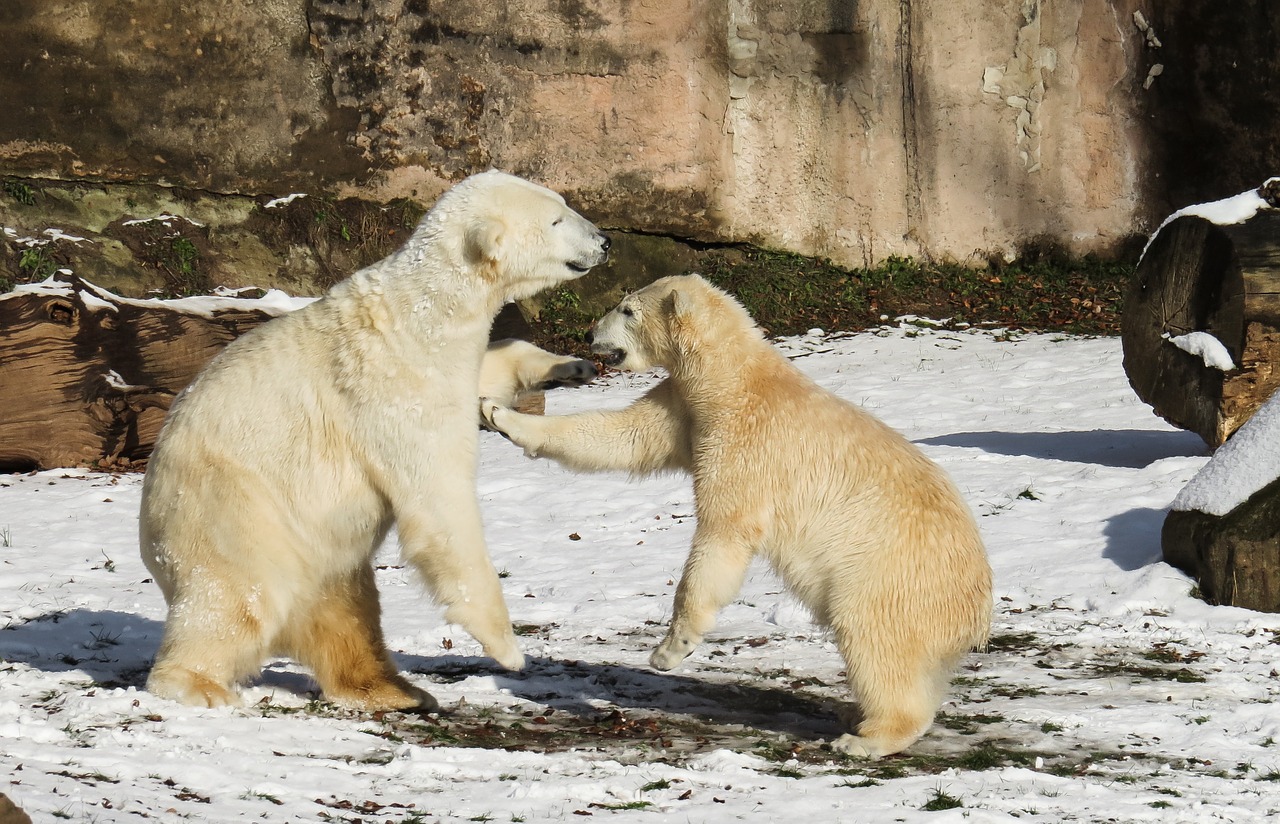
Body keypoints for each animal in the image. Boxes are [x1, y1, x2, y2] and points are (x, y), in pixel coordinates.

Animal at [142, 170, 611, 711]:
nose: (604, 240)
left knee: (344, 604)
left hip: (315, 548)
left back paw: (395, 689)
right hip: (233, 510)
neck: (424, 312)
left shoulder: (449, 362)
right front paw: (508, 649)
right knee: (237, 597)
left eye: (564, 203)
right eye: (556, 219)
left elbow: (491, 368)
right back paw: (200, 686)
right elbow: (439, 501)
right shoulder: (395, 388)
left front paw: (572, 365)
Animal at [481, 273, 988, 757]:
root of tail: (976, 611)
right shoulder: (686, 408)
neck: (730, 379)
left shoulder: (746, 444)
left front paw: (670, 651)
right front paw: (498, 413)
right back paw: (856, 716)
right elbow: (623, 437)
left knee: (873, 640)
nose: (589, 334)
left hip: (888, 573)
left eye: (626, 309)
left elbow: (722, 534)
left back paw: (867, 737)